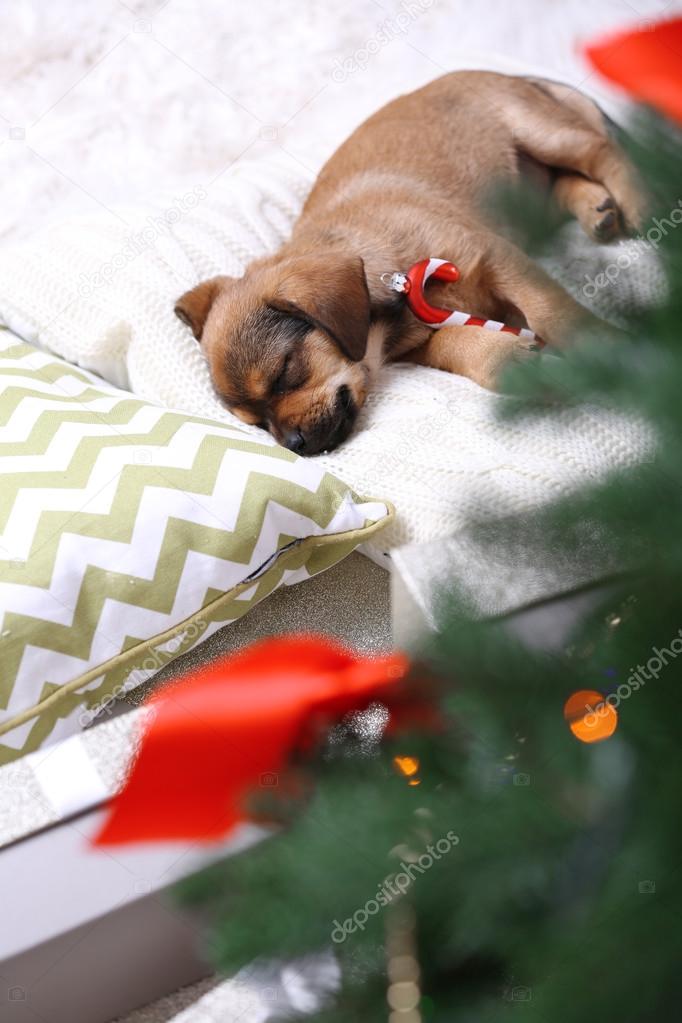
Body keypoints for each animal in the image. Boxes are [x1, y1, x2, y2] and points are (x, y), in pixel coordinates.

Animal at [175, 70, 646, 454]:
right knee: (564, 181)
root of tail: (512, 75)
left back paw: (640, 201)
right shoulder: (421, 342)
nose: (294, 446)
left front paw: (608, 349)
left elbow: (553, 313)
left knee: (602, 150)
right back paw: (598, 208)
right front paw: (508, 359)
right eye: (255, 423)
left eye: (286, 373)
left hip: (541, 131)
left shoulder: (497, 258)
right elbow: (454, 344)